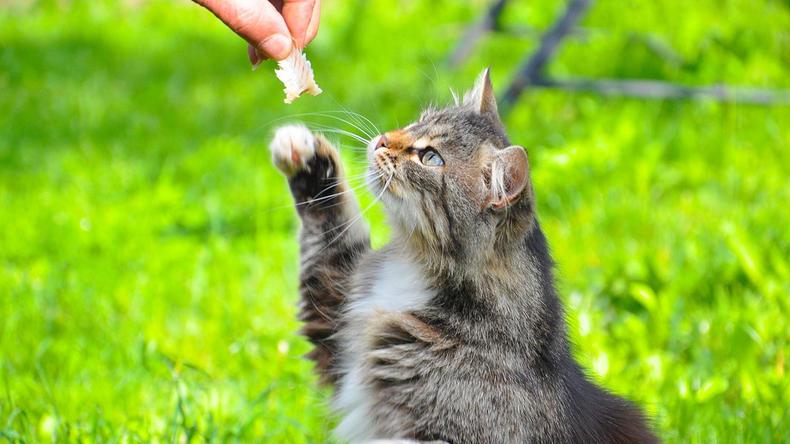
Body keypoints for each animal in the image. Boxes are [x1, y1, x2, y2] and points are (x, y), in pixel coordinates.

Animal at [270, 69, 660, 444]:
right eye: (415, 123)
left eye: (430, 158)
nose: (382, 139)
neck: (412, 267)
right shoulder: (335, 315)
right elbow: (329, 226)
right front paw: (304, 155)